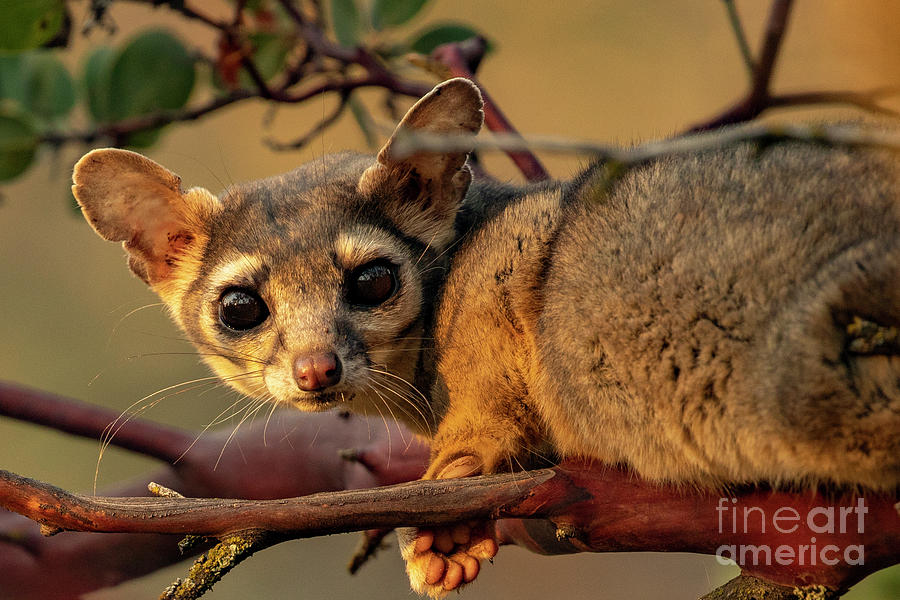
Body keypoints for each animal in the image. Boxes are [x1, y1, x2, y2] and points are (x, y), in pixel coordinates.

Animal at [72, 78, 900, 596]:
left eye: (375, 281)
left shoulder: (505, 273)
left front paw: (454, 488)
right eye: (241, 307)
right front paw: (458, 540)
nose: (316, 371)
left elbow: (489, 405)